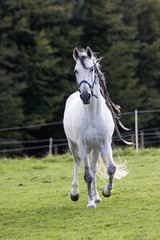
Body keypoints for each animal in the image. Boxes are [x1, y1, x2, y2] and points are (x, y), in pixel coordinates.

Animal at [63, 47, 129, 208]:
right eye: (76, 70)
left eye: (92, 69)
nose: (85, 95)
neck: (92, 116)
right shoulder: (82, 145)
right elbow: (87, 175)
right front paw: (90, 203)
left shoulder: (105, 144)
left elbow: (111, 168)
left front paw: (106, 192)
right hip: (73, 144)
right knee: (77, 162)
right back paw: (75, 193)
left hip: (96, 148)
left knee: (93, 169)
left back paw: (96, 196)